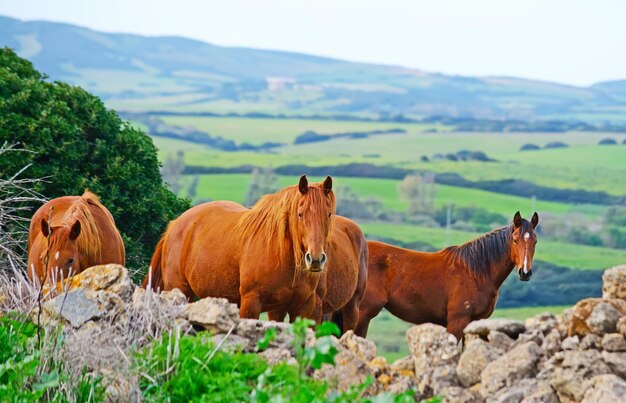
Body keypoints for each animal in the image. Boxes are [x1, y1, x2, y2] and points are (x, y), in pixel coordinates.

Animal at [143, 175, 336, 320]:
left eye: (328, 214)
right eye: (300, 214)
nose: (316, 259)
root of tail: (174, 225)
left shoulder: (298, 309)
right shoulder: (251, 304)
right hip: (179, 291)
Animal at [354, 211, 540, 340]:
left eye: (535, 241)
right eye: (515, 240)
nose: (525, 272)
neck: (476, 273)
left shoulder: (474, 325)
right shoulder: (457, 322)